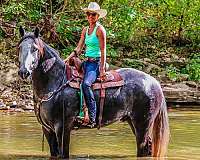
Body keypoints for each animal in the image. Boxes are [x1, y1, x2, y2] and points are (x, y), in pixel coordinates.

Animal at [18, 26, 170, 159]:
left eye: (34, 49)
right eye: (19, 48)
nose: (23, 72)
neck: (56, 82)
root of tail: (154, 82)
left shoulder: (62, 128)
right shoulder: (47, 129)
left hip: (142, 124)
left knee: (143, 148)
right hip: (133, 122)